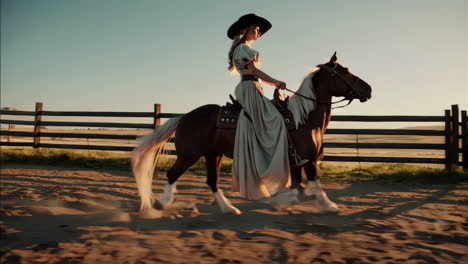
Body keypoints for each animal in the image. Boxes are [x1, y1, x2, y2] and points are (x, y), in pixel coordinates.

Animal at [133, 52, 372, 216]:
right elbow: (315, 184)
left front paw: (284, 200)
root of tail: (183, 117)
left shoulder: (296, 161)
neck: (304, 119)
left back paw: (228, 208)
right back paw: (162, 202)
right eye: (345, 71)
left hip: (213, 155)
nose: (368, 89)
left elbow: (298, 186)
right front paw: (328, 205)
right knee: (172, 175)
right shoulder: (308, 159)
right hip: (189, 155)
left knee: (212, 181)